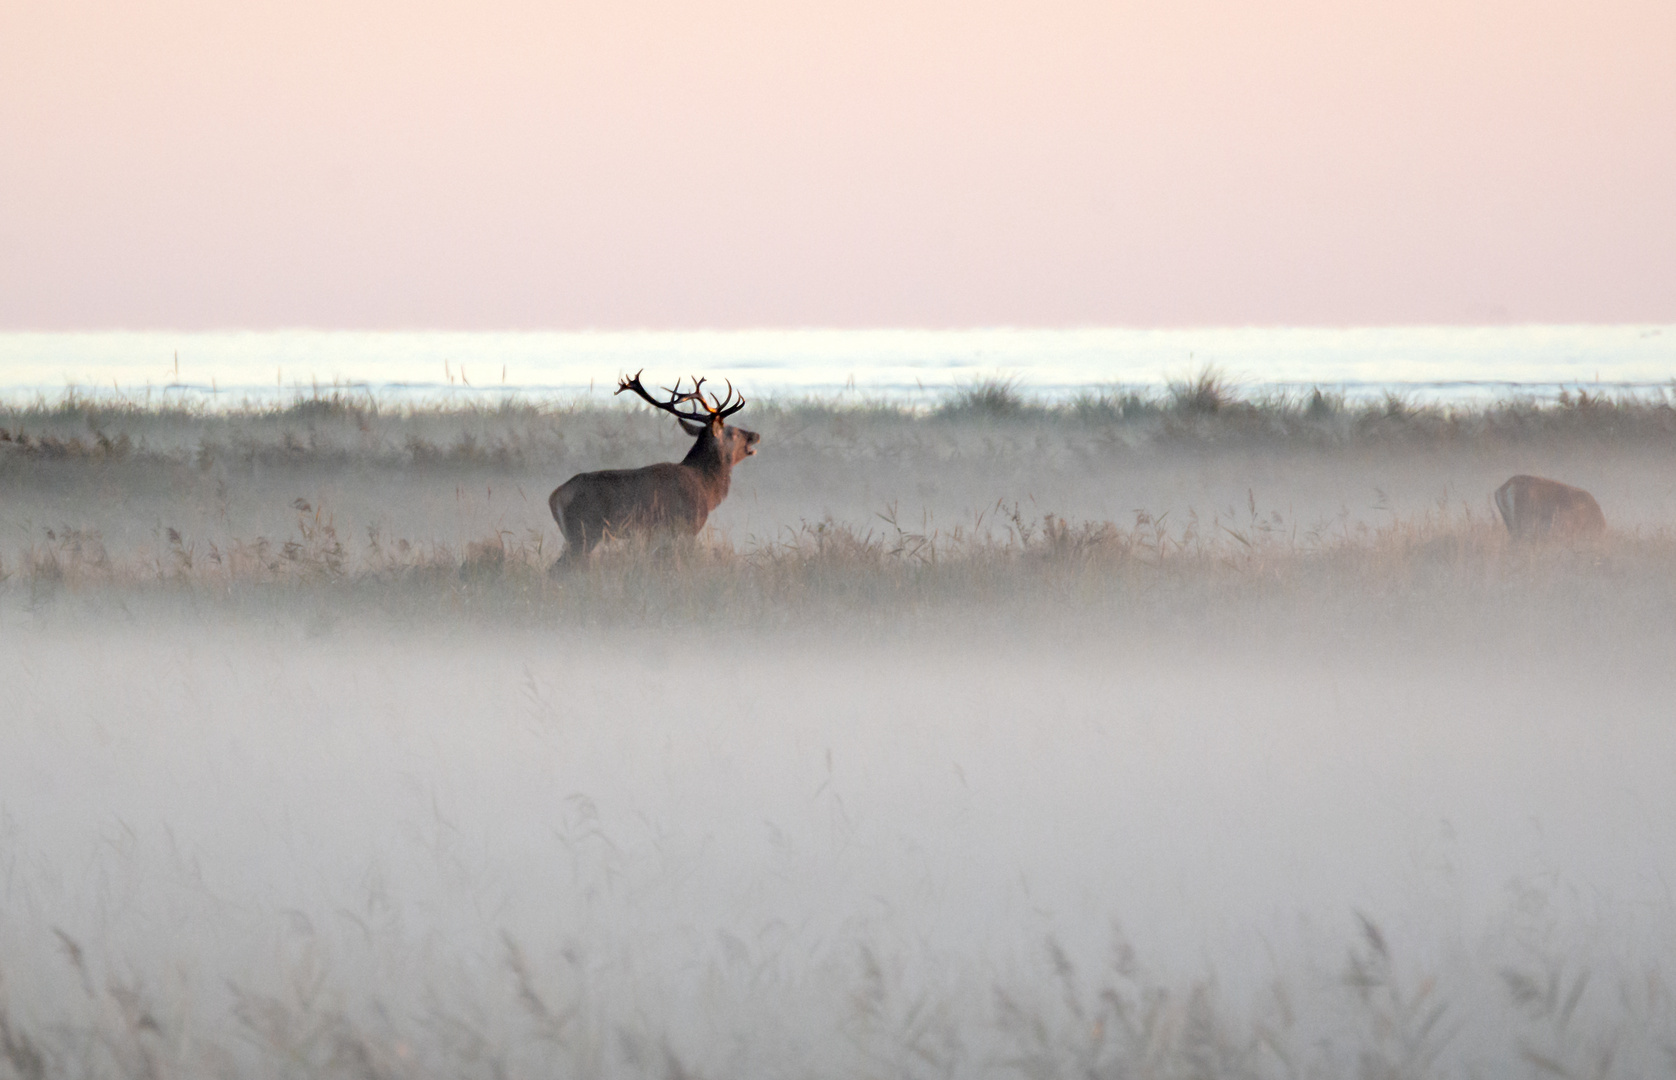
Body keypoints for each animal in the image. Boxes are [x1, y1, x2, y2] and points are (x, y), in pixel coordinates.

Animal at [549, 370, 760, 566]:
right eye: (733, 432)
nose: (755, 435)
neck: (706, 487)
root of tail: (554, 497)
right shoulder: (685, 526)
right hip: (582, 532)